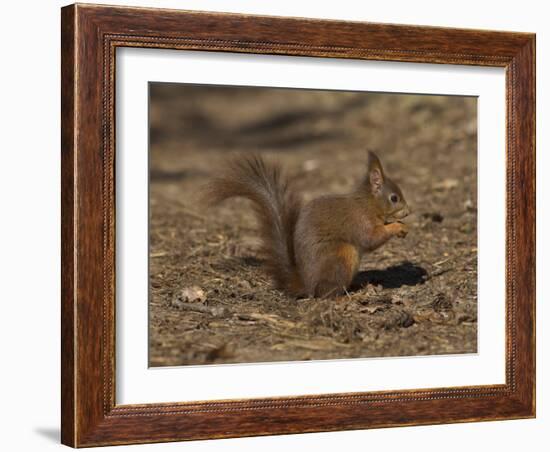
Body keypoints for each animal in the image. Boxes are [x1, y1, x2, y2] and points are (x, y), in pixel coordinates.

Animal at [205, 152, 412, 298]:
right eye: (394, 198)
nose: (408, 212)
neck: (369, 203)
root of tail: (306, 284)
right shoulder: (360, 220)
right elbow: (371, 238)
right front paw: (398, 227)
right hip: (342, 255)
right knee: (324, 294)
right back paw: (345, 297)